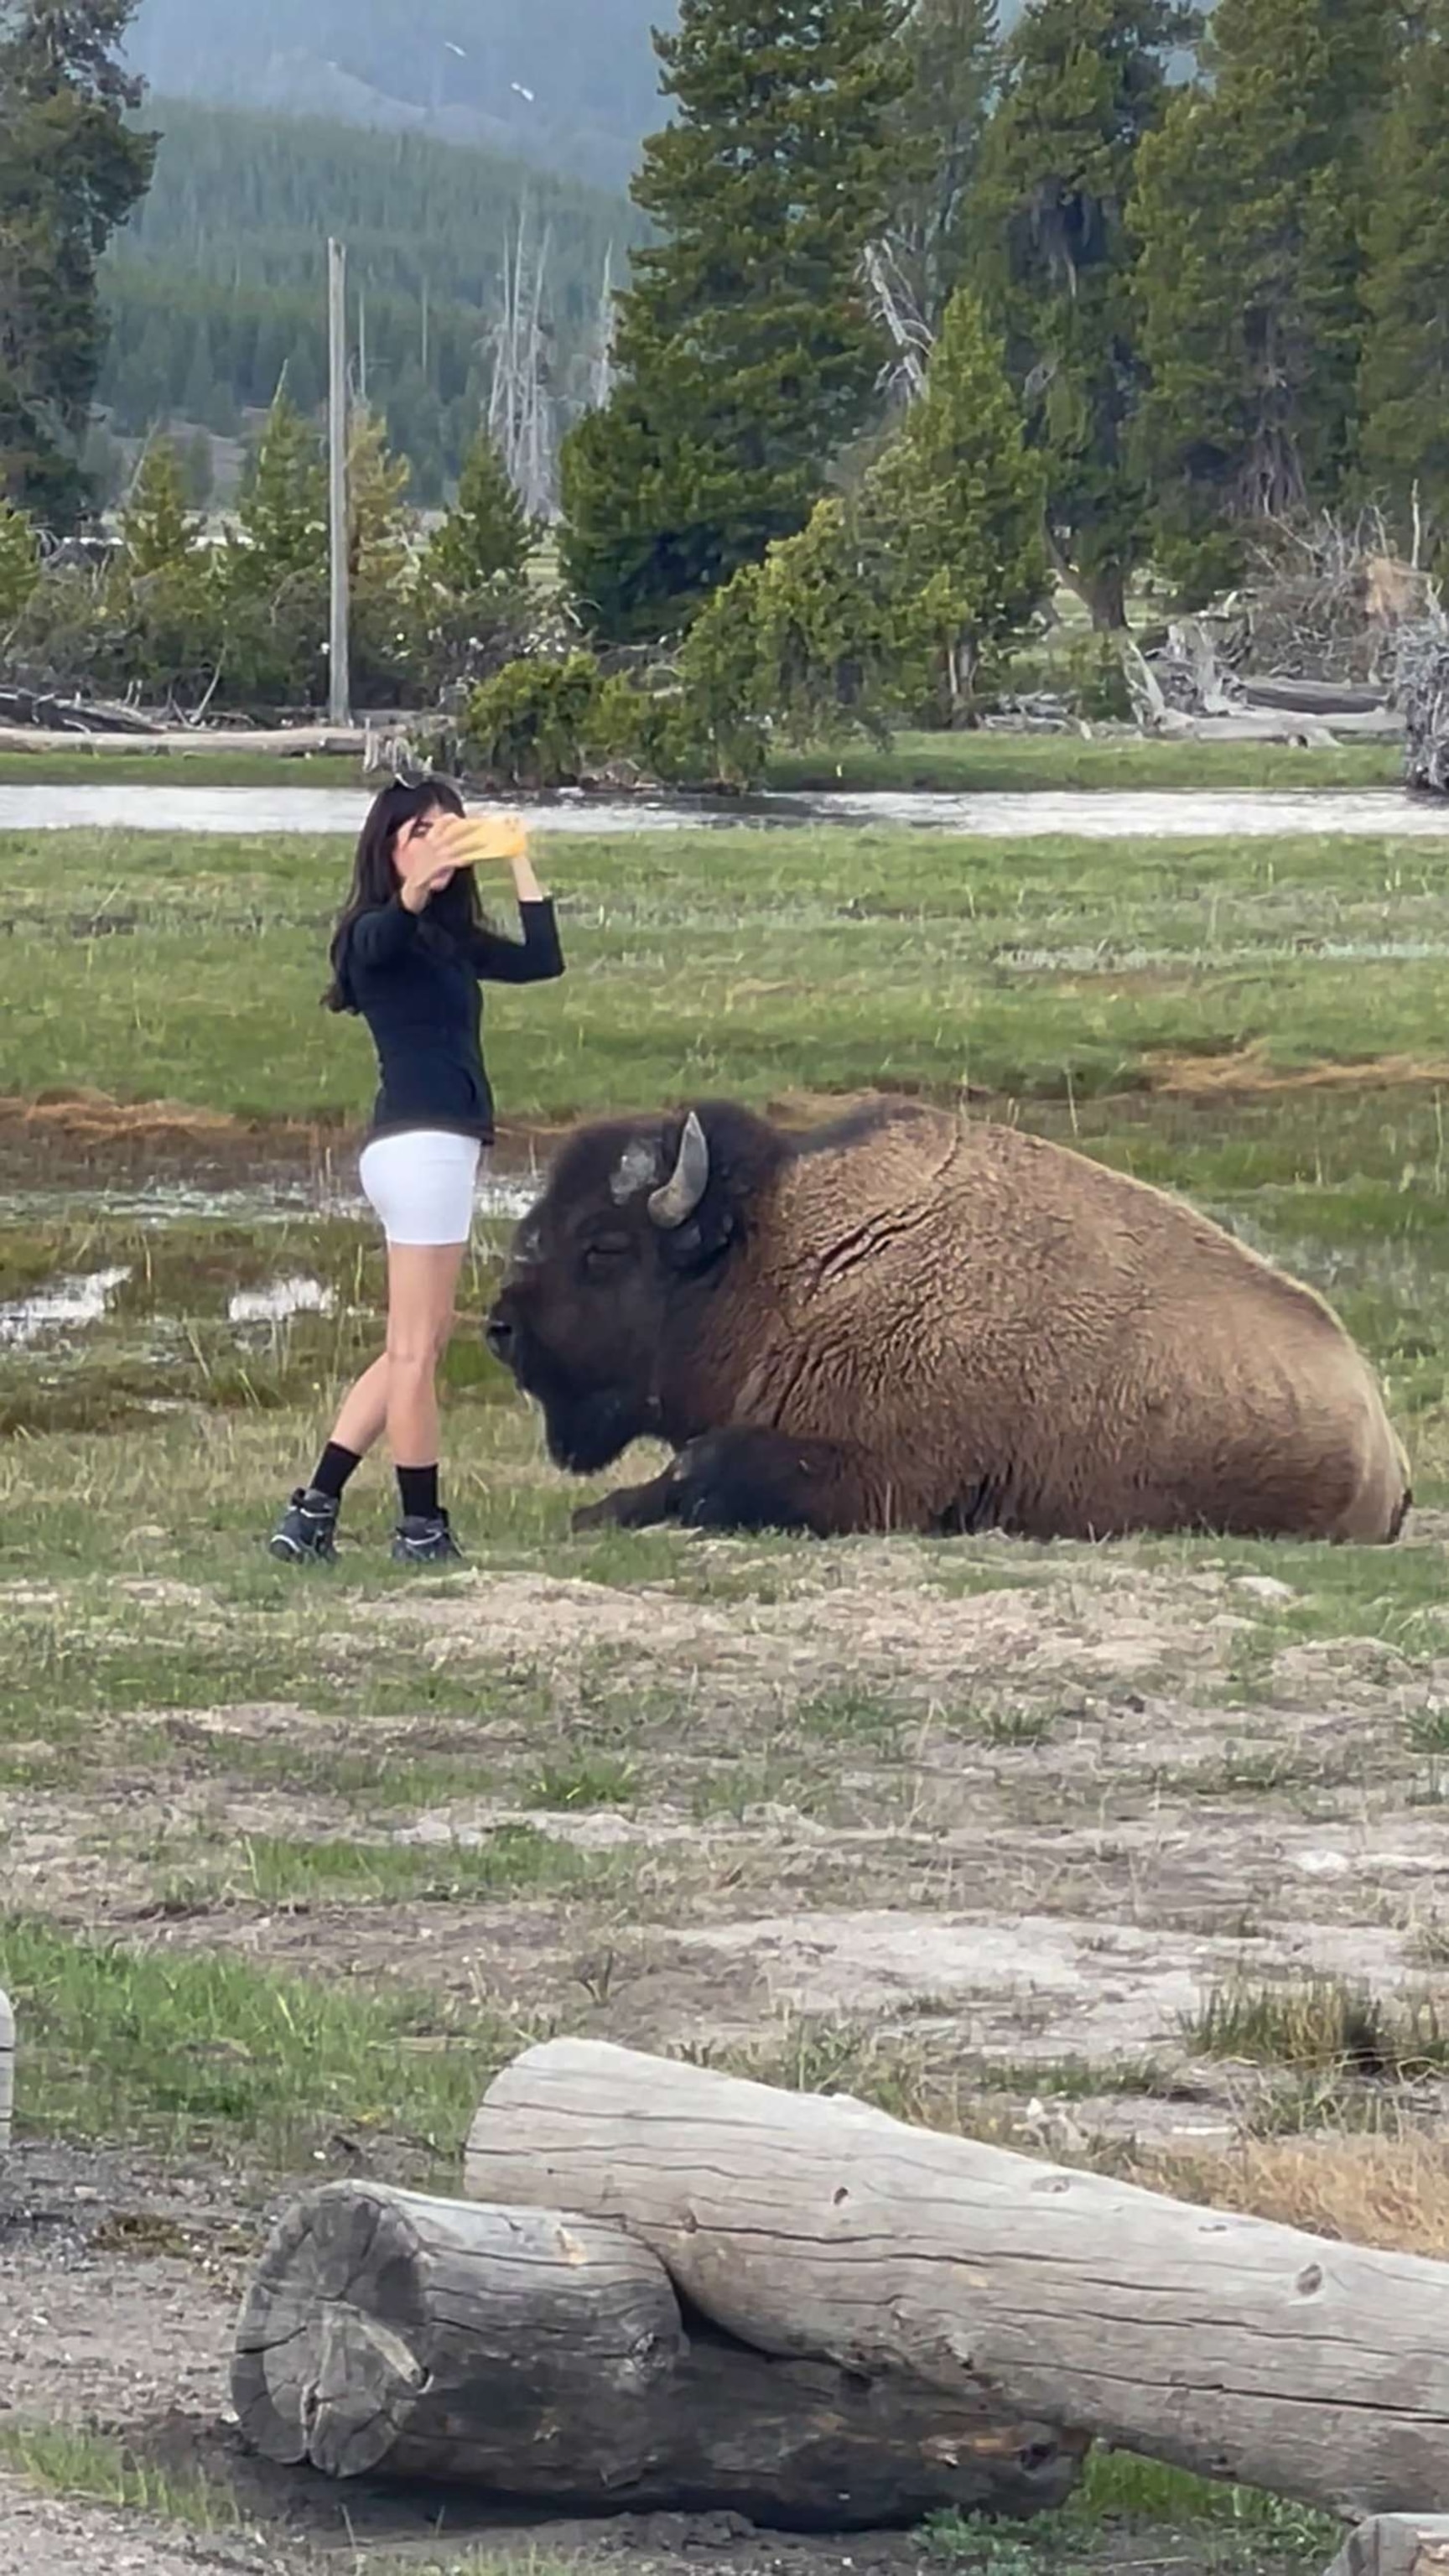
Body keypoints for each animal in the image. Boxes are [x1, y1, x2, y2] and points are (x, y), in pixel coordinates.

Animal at [479, 1092, 1402, 1535]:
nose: (501, 1329)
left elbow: (701, 1467)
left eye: (605, 1245)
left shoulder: (881, 1473)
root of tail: (1378, 1428)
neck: (785, 1262)